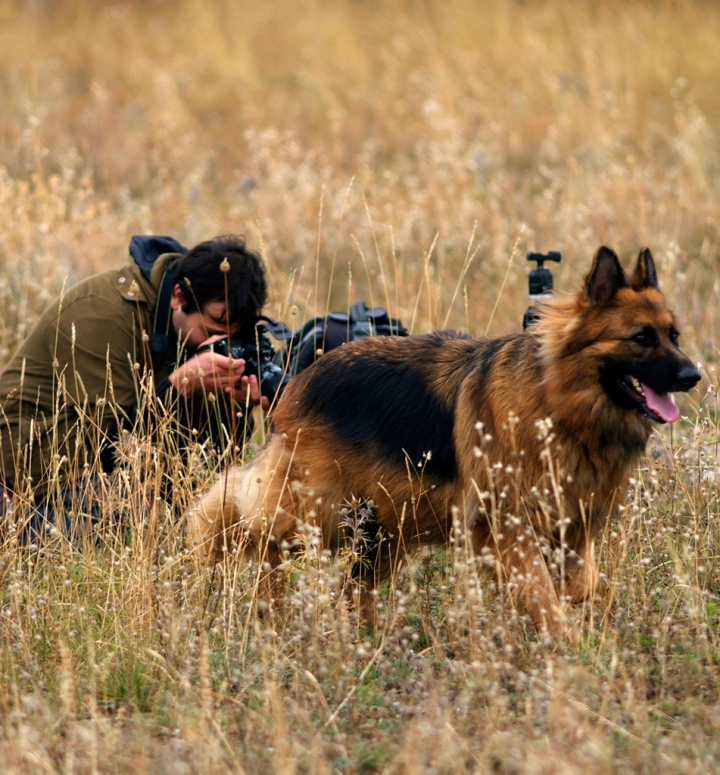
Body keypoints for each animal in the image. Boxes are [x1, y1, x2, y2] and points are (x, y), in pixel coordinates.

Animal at [188, 249, 700, 636]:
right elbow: (542, 596)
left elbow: (581, 585)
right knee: (256, 536)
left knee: (351, 589)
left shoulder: (573, 528)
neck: (558, 401)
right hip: (316, 516)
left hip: (384, 530)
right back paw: (268, 610)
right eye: (641, 338)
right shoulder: (508, 528)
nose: (693, 376)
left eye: (674, 335)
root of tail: (298, 379)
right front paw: (566, 649)